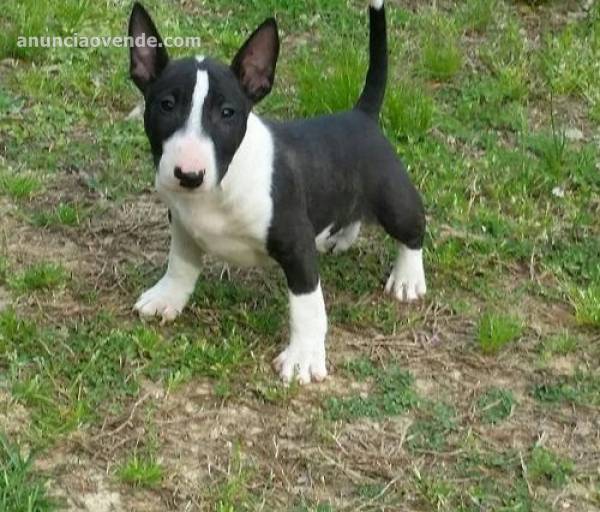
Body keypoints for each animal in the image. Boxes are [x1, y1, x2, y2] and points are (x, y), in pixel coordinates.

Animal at [129, 0, 426, 382]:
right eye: (166, 105)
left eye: (227, 112)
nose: (189, 175)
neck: (222, 186)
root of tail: (361, 115)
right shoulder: (182, 222)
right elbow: (180, 262)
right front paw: (166, 297)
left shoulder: (296, 245)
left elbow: (307, 306)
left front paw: (303, 359)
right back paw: (340, 238)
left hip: (393, 198)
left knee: (413, 228)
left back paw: (408, 278)